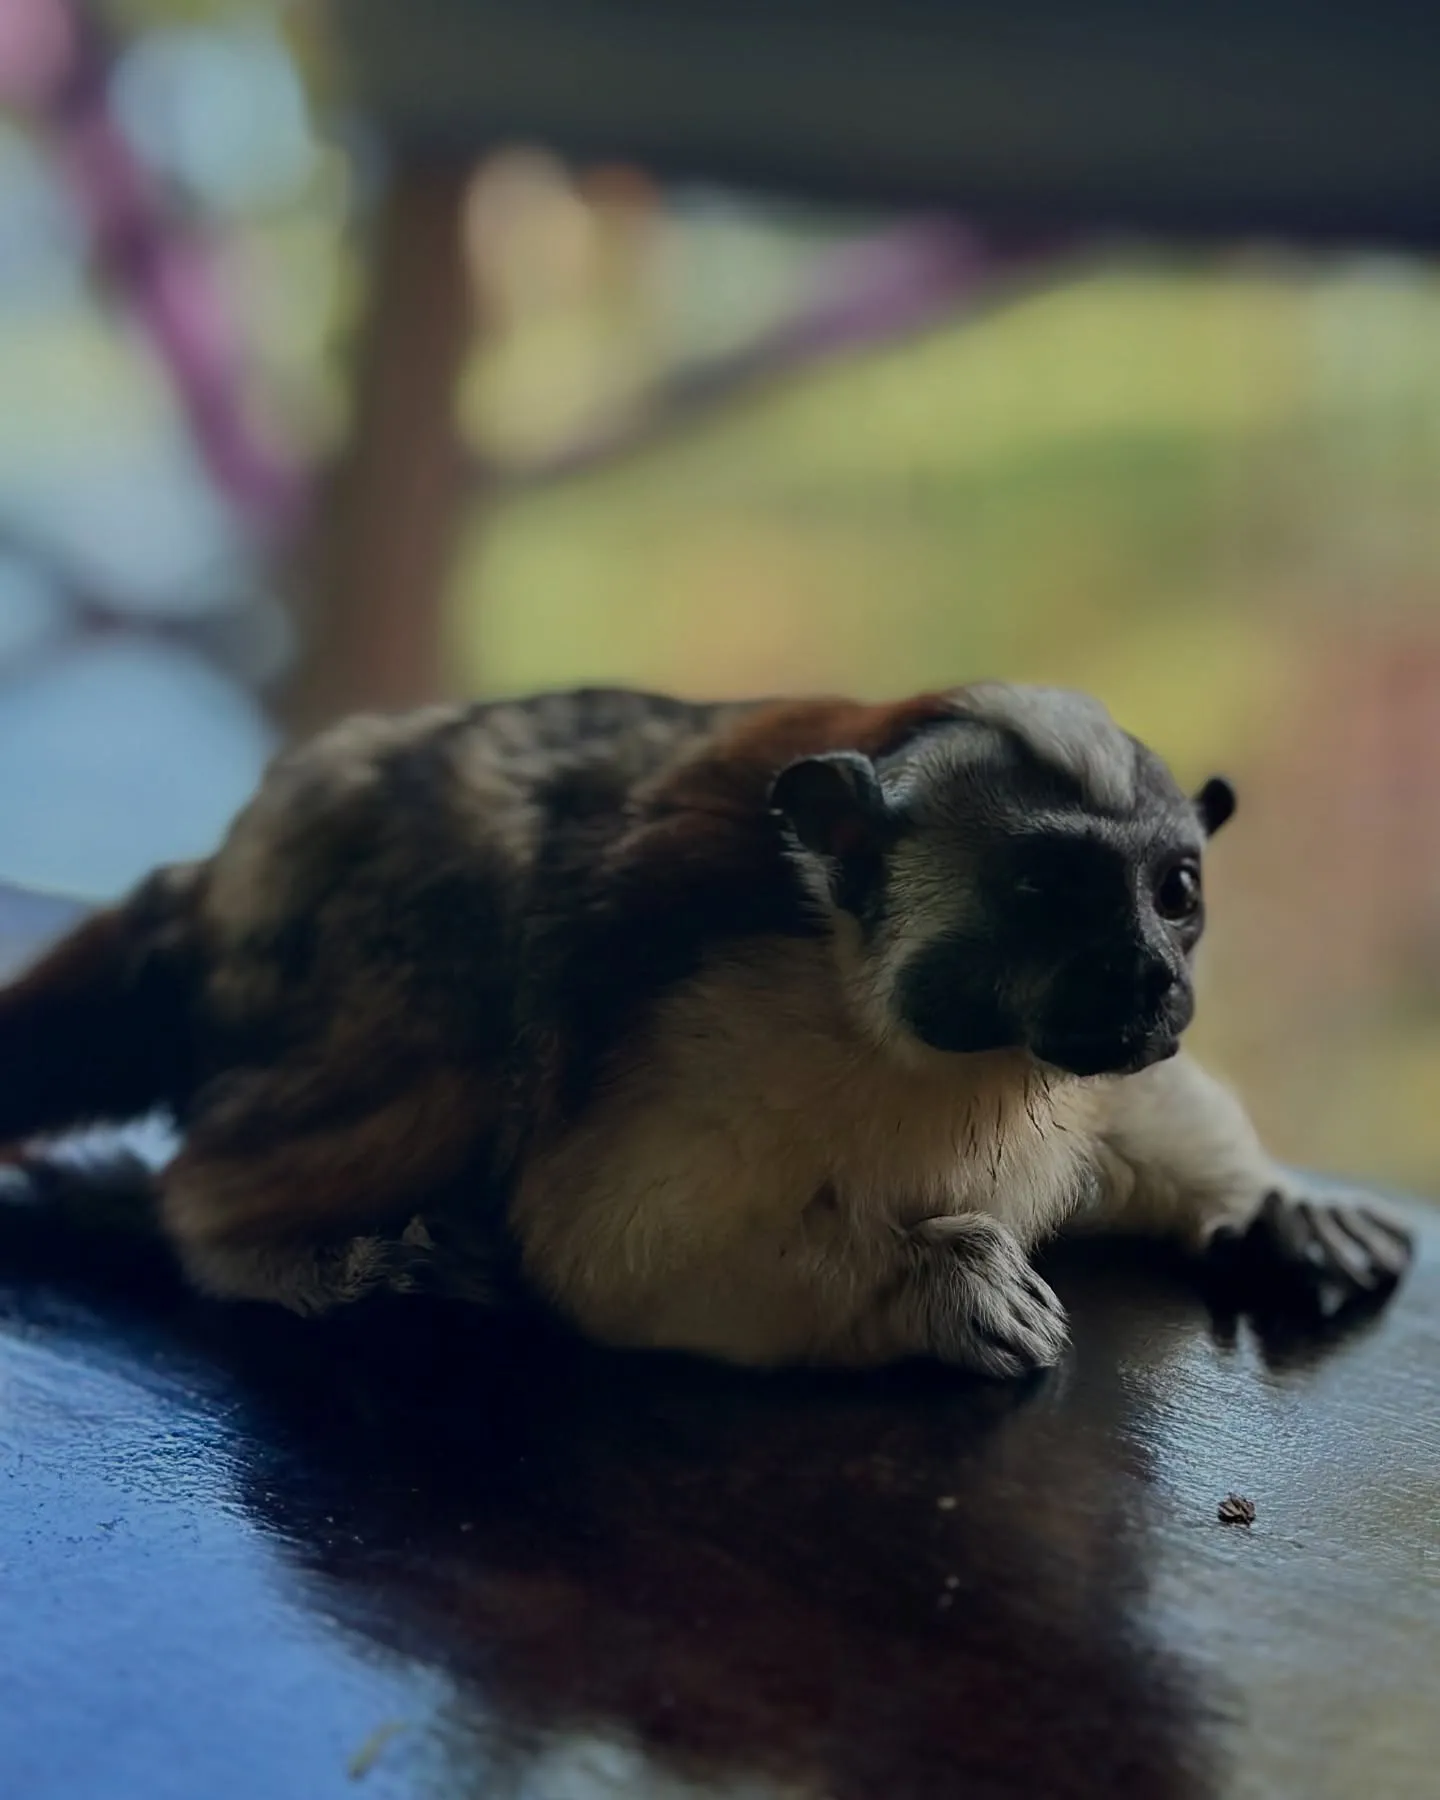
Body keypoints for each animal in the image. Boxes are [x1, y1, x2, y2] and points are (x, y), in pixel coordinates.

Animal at [0, 683, 1414, 1377]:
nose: (1145, 976)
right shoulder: (739, 1025)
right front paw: (936, 1286)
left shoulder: (1083, 1055)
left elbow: (1141, 1099)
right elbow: (612, 1249)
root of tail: (232, 874)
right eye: (1045, 890)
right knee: (448, 1030)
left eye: (1174, 892)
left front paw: (1277, 1208)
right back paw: (266, 1246)